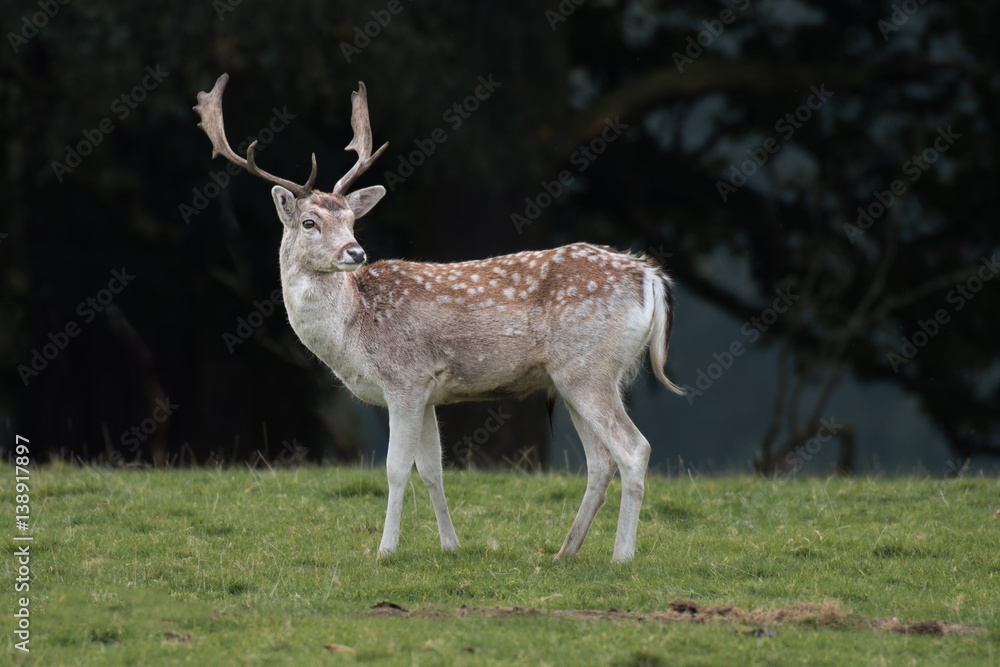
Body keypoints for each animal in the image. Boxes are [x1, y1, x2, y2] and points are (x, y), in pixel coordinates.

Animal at [194, 74, 684, 562]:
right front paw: (450, 545)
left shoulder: (405, 378)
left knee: (633, 449)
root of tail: (650, 276)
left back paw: (621, 556)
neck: (354, 330)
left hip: (587, 368)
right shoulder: (428, 392)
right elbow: (432, 469)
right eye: (310, 222)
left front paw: (386, 550)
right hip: (577, 377)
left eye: (352, 219)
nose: (355, 252)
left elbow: (396, 468)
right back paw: (565, 552)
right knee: (601, 461)